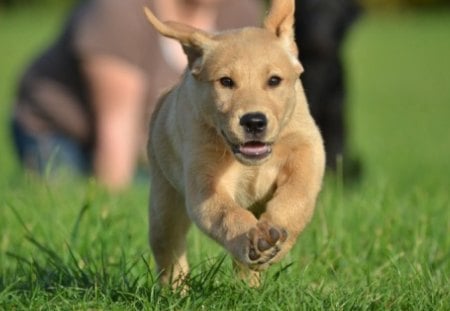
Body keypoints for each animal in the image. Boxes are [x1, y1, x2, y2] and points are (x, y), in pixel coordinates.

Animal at [144, 0, 324, 288]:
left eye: (274, 80)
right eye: (226, 82)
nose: (254, 121)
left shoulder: (307, 147)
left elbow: (297, 195)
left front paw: (276, 234)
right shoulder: (204, 182)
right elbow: (227, 214)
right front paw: (253, 238)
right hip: (164, 203)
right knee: (169, 251)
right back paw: (176, 290)